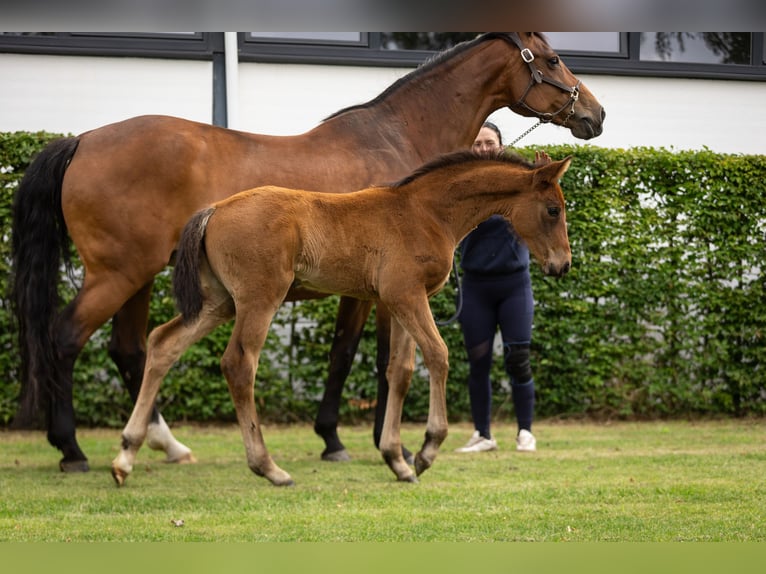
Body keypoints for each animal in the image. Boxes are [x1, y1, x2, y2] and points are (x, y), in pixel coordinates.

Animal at [111, 150, 572, 486]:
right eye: (553, 209)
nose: (563, 265)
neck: (425, 212)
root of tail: (215, 209)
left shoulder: (399, 301)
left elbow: (400, 370)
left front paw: (397, 460)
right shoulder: (406, 295)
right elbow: (438, 356)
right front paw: (426, 451)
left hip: (218, 302)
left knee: (163, 344)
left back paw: (126, 455)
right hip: (259, 299)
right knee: (239, 364)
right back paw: (268, 467)